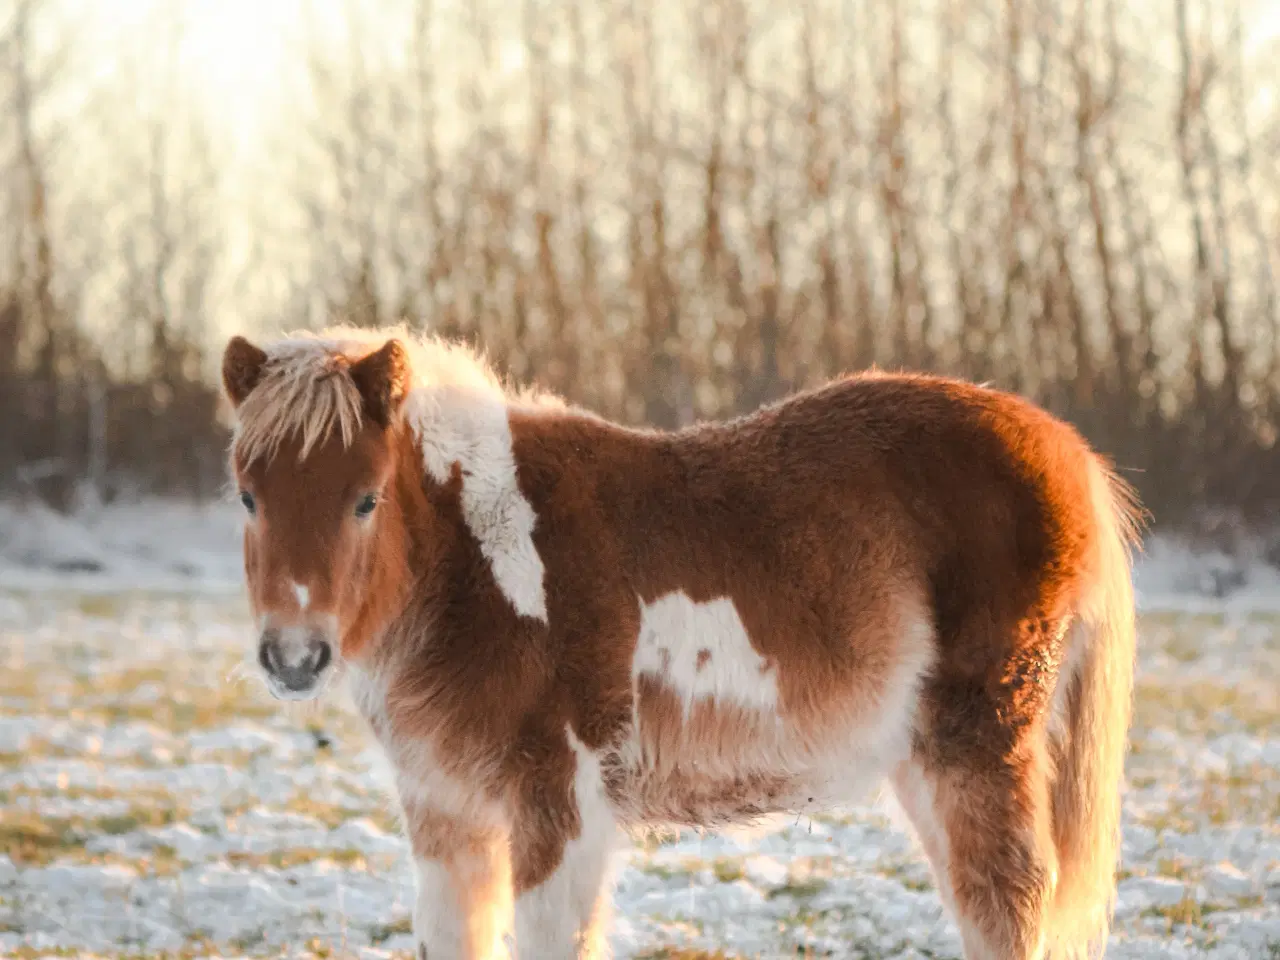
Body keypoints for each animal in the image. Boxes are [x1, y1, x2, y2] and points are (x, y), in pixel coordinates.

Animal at [217, 330, 1141, 960]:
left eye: (366, 498)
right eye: (248, 497)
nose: (295, 656)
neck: (478, 556)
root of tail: (1066, 452)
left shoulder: (558, 806)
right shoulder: (447, 814)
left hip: (977, 749)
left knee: (1006, 901)